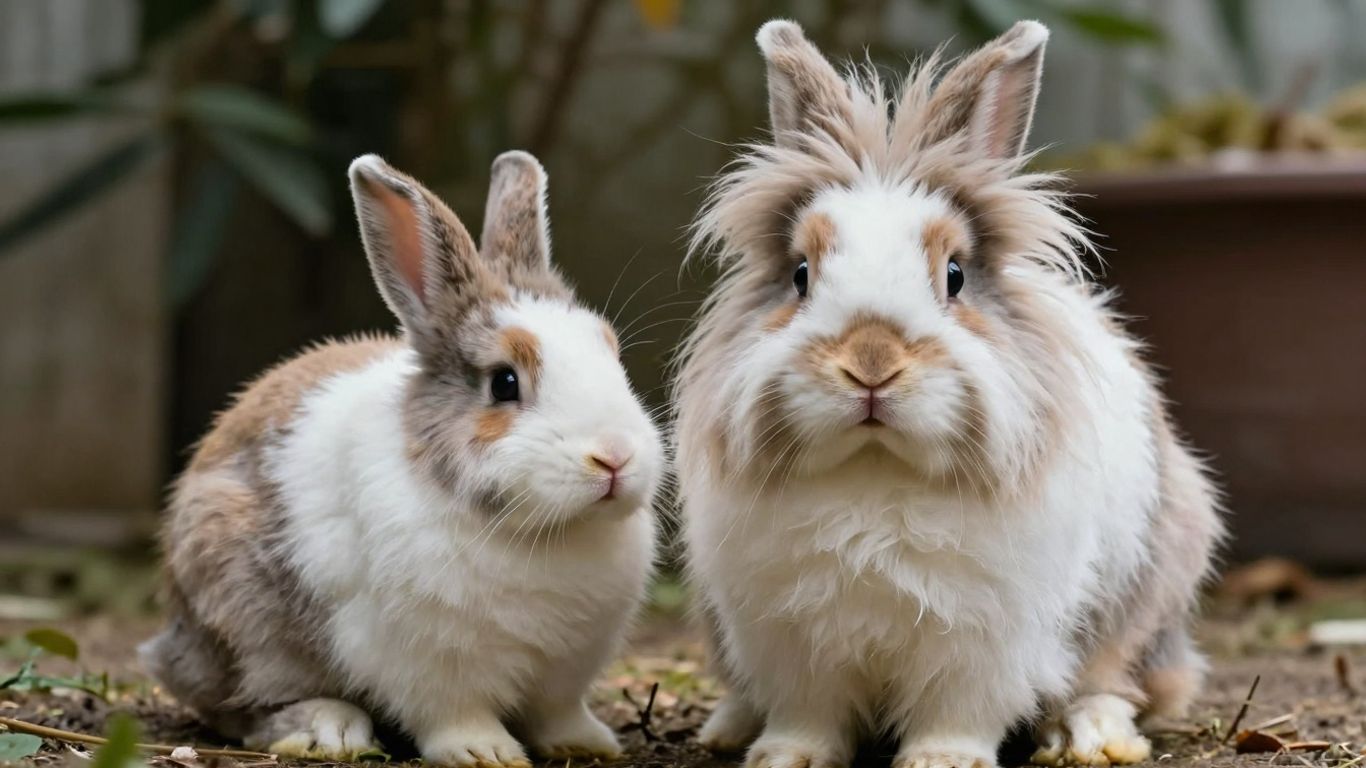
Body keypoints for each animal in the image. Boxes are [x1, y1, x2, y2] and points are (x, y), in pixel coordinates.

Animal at [139, 151, 664, 766]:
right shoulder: (428, 661)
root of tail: (169, 644)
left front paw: (587, 742)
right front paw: (484, 752)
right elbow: (452, 713)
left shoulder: (566, 669)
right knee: (245, 705)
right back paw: (329, 730)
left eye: (612, 353)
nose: (614, 457)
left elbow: (557, 712)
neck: (545, 531)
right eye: (504, 383)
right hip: (240, 615)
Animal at [674, 19, 1223, 768]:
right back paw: (728, 727)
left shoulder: (984, 640)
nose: (871, 363)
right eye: (800, 275)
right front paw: (786, 756)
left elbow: (958, 707)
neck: (876, 472)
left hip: (1149, 588)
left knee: (1115, 677)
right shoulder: (787, 637)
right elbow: (807, 711)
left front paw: (943, 758)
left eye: (956, 274)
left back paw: (1094, 738)